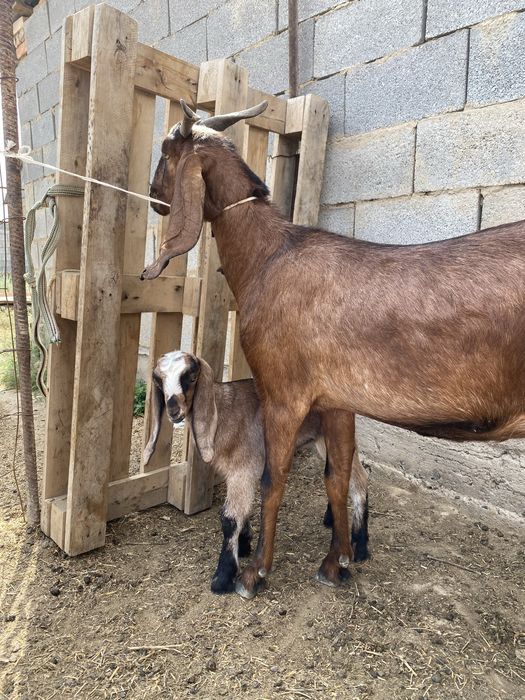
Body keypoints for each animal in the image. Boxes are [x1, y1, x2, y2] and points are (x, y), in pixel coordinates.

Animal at [143, 350, 369, 593]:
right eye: (159, 381)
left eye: (192, 377)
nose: (173, 410)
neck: (224, 412)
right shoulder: (239, 473)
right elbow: (242, 511)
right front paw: (243, 545)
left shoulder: (243, 470)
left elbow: (229, 518)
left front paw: (223, 577)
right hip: (320, 439)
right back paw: (332, 520)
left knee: (359, 479)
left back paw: (361, 546)